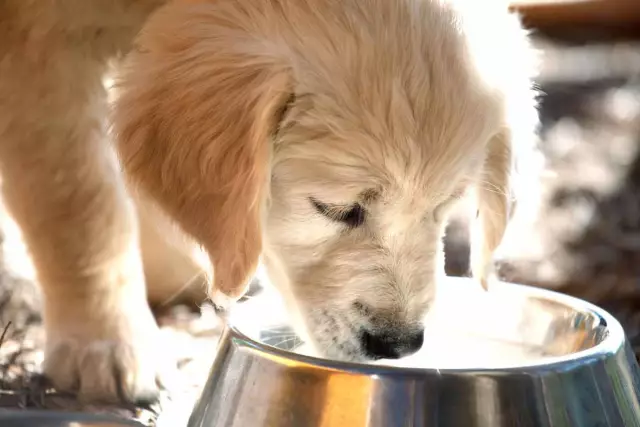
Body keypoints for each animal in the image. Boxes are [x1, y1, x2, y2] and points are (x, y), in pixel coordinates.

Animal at [0, 0, 540, 404]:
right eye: (334, 209)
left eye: (444, 208)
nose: (398, 344)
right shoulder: (34, 46)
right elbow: (81, 199)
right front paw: (109, 342)